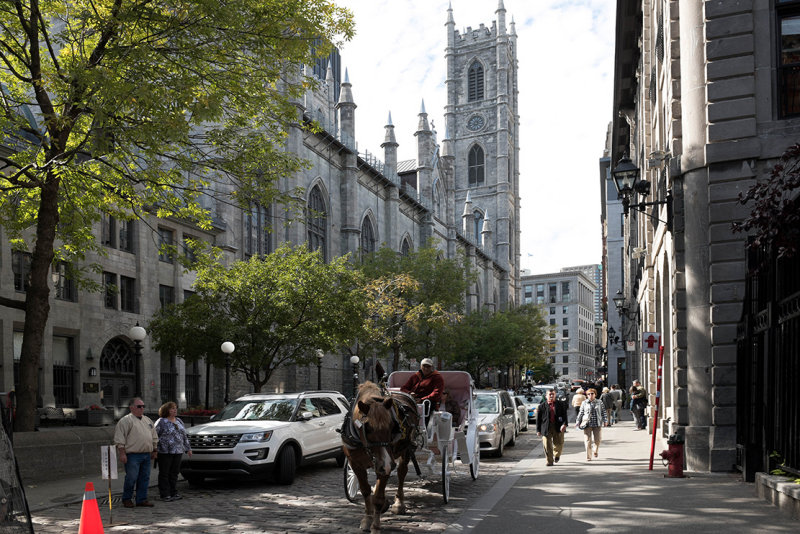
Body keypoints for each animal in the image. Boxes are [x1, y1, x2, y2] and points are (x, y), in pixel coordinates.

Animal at [340, 384, 422, 532]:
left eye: (392, 426)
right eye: (367, 428)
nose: (388, 464)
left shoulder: (385, 465)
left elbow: (378, 497)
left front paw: (376, 526)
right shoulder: (355, 463)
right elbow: (365, 490)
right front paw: (367, 518)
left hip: (406, 450)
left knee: (401, 473)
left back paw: (399, 503)